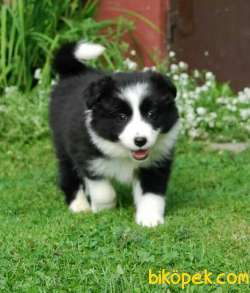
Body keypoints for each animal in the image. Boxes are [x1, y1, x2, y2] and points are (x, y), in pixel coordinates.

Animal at [49, 41, 180, 227]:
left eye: (151, 114)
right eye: (121, 117)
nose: (140, 140)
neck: (124, 153)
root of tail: (74, 71)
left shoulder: (156, 161)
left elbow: (152, 192)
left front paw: (149, 218)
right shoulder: (88, 157)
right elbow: (104, 191)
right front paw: (104, 209)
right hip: (63, 145)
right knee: (69, 175)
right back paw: (79, 206)